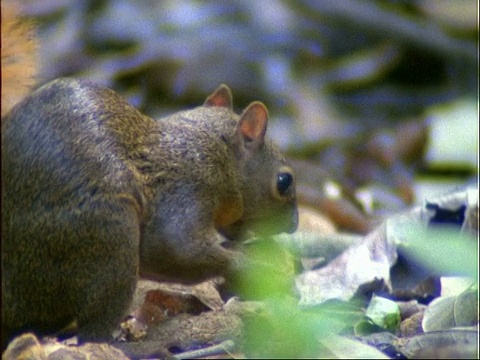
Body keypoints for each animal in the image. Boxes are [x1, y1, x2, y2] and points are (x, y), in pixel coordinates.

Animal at [1, 0, 298, 348]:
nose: (294, 224)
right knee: (92, 328)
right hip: (109, 242)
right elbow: (177, 249)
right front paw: (248, 266)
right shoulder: (187, 194)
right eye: (284, 182)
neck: (213, 153)